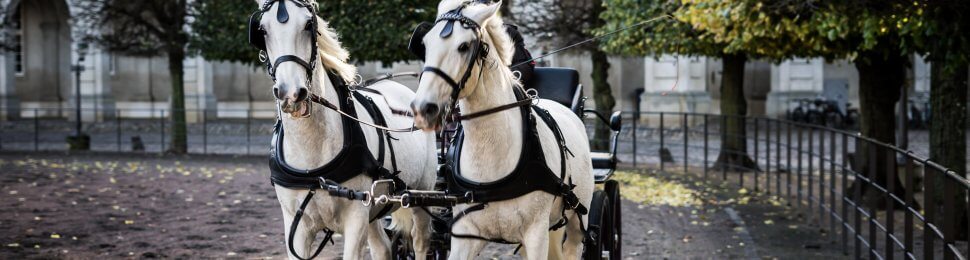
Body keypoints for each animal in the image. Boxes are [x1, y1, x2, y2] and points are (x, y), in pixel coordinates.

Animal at [255, 1, 436, 258]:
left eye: (308, 25)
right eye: (262, 30)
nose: (291, 93)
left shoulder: (356, 217)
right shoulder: (295, 224)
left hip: (421, 195)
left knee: (421, 240)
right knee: (382, 246)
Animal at [406, 1, 588, 258]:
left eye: (464, 46)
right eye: (426, 44)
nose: (423, 108)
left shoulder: (536, 234)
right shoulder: (464, 233)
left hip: (577, 220)